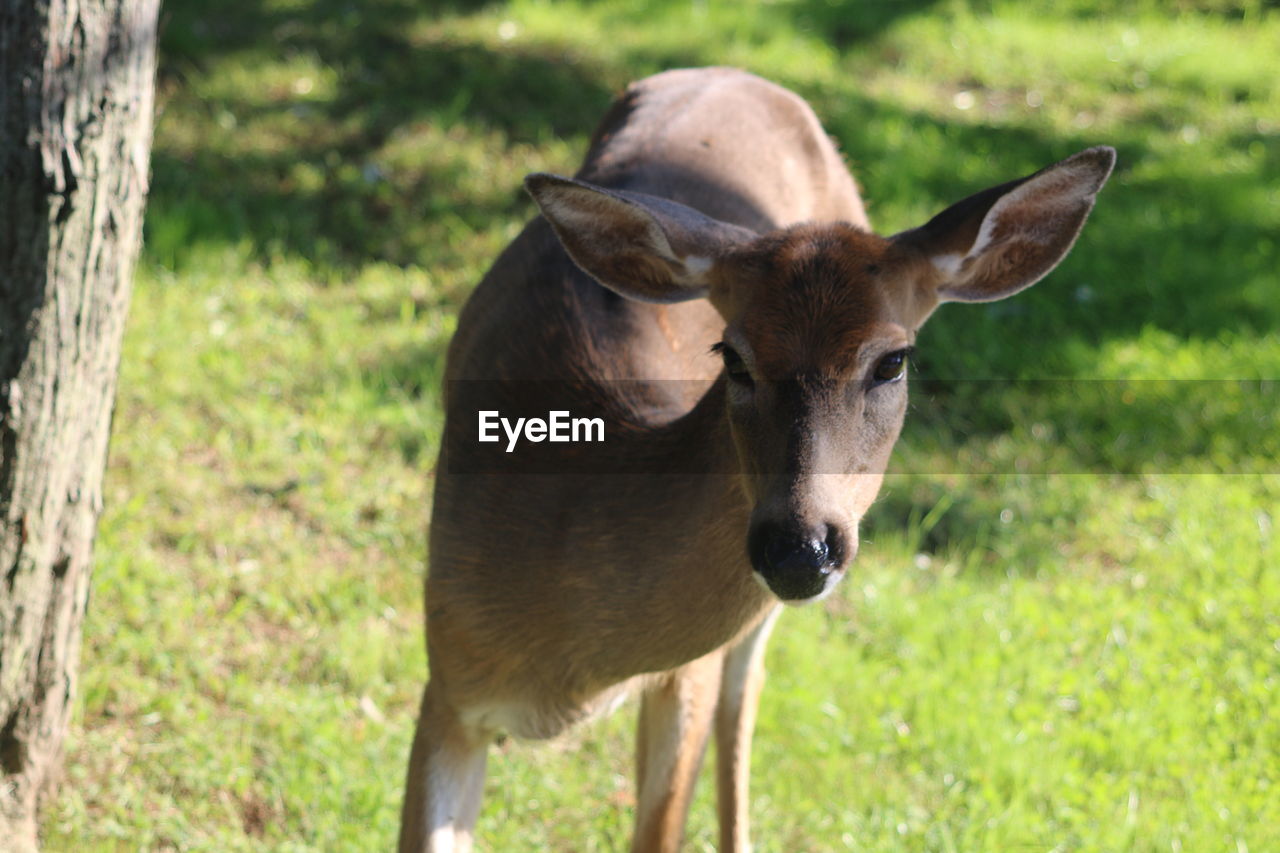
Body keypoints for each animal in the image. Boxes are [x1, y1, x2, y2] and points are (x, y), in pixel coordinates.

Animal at [396, 68, 1111, 850]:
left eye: (893, 360)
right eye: (732, 356)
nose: (798, 548)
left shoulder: (688, 676)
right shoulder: (447, 677)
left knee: (744, 696)